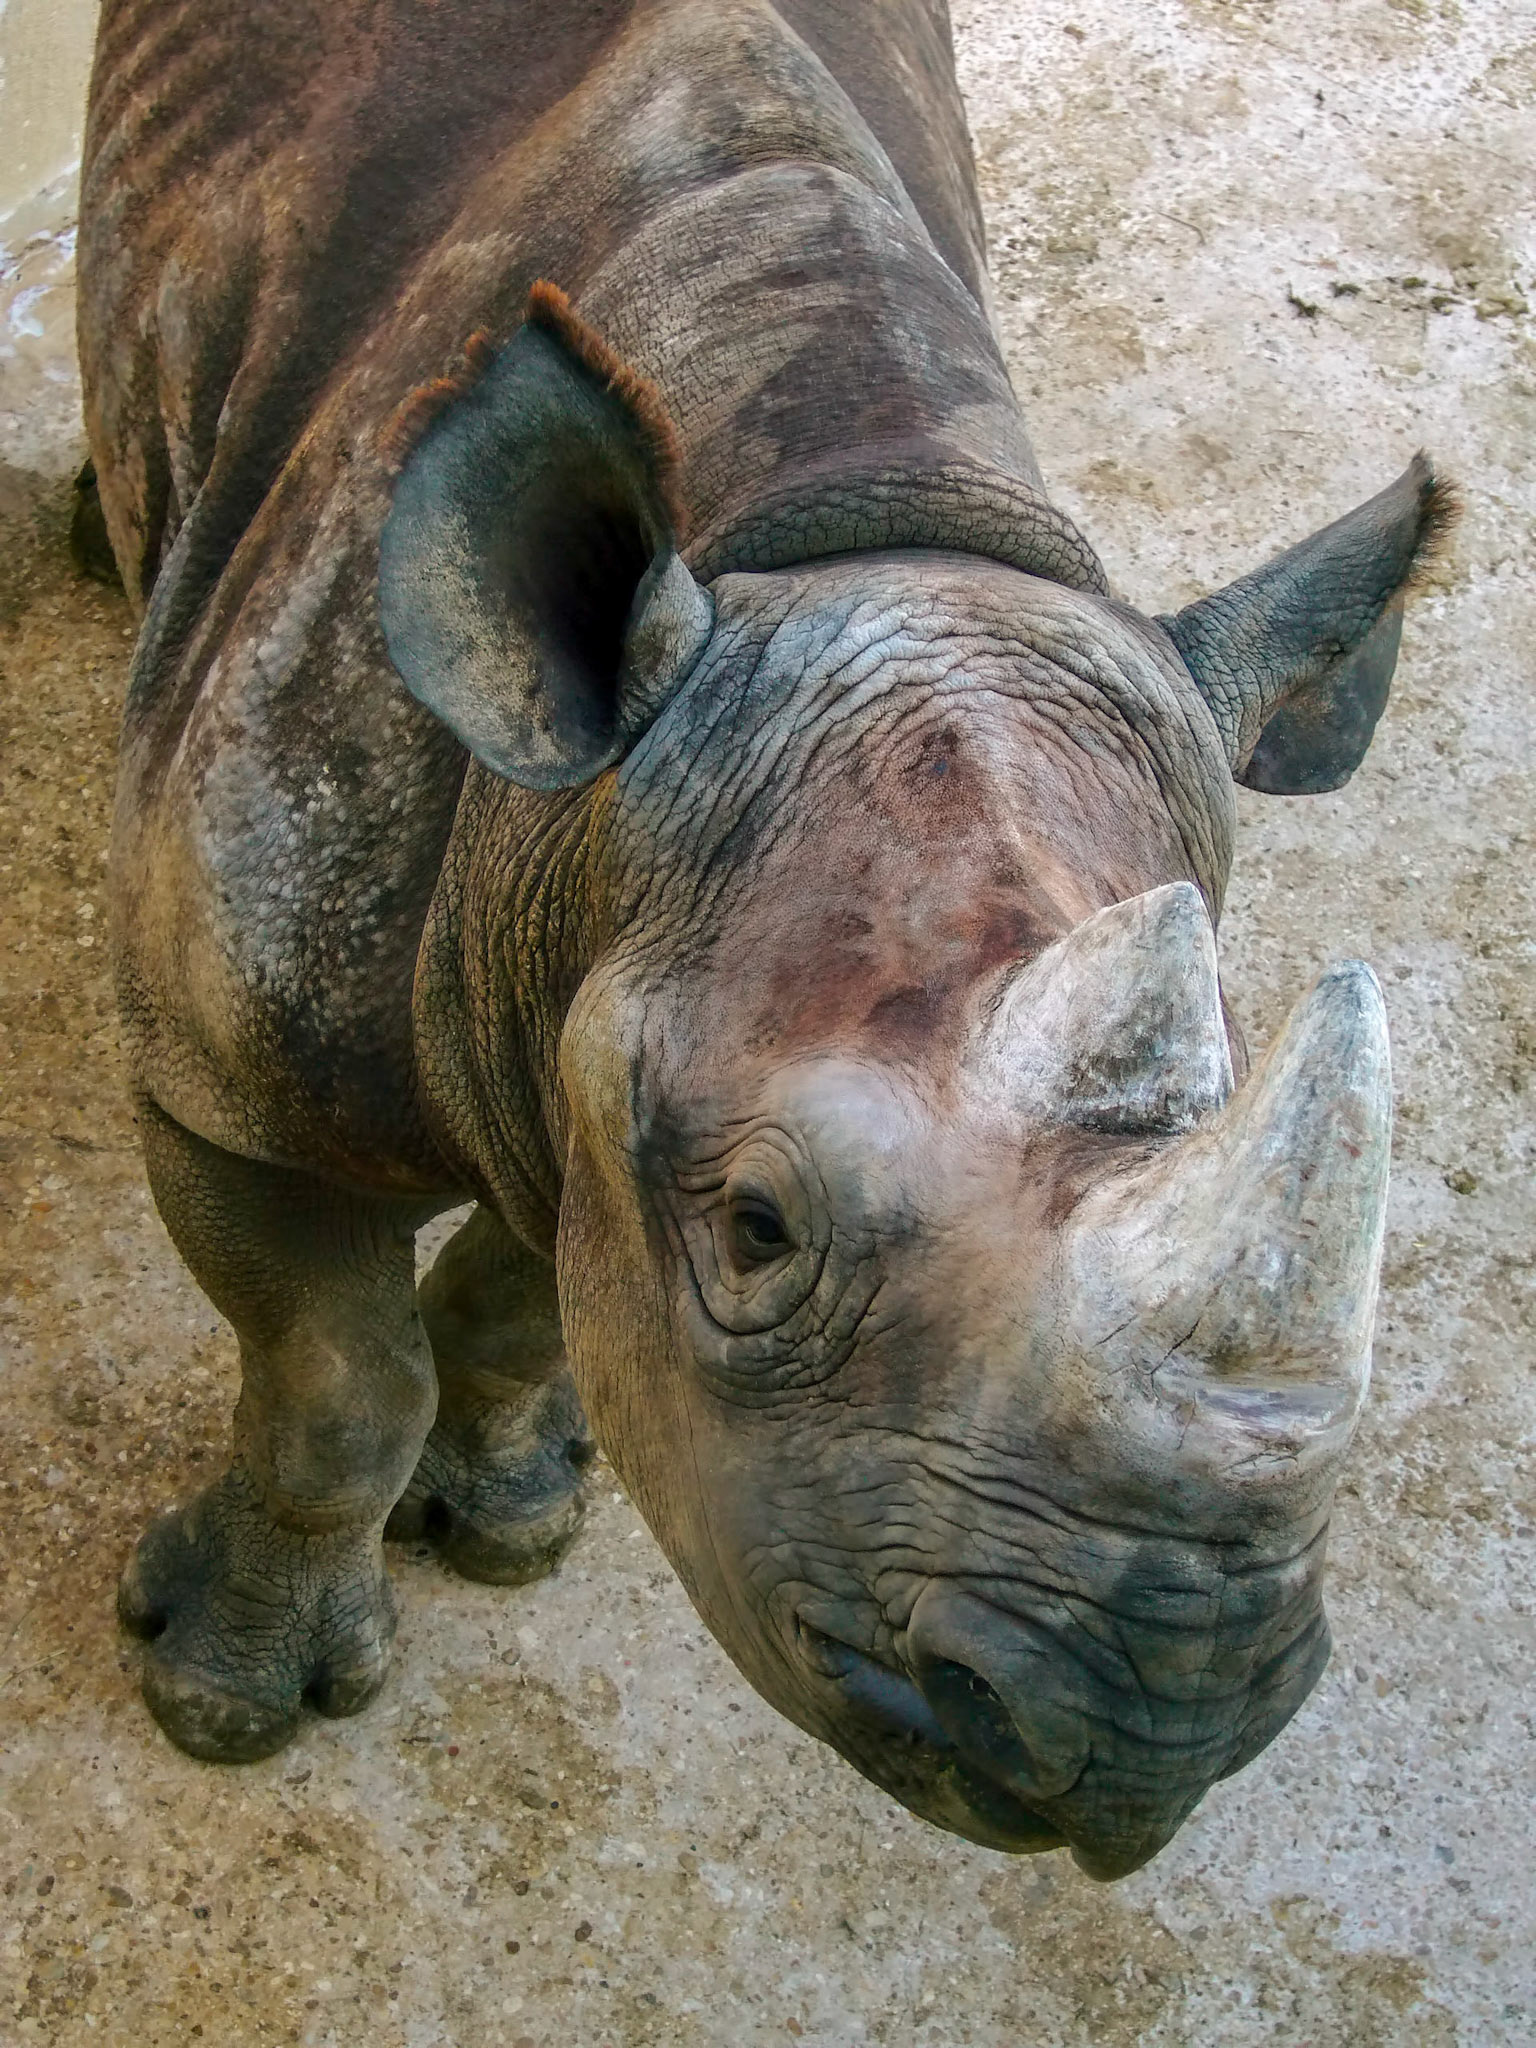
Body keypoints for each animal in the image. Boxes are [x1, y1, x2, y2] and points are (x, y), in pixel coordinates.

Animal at [79, 0, 1452, 1878]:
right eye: (756, 1231)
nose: (1148, 1730)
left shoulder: (576, 1018)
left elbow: (525, 1293)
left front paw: (510, 1520)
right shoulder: (221, 1085)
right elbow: (337, 1388)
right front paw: (223, 1701)